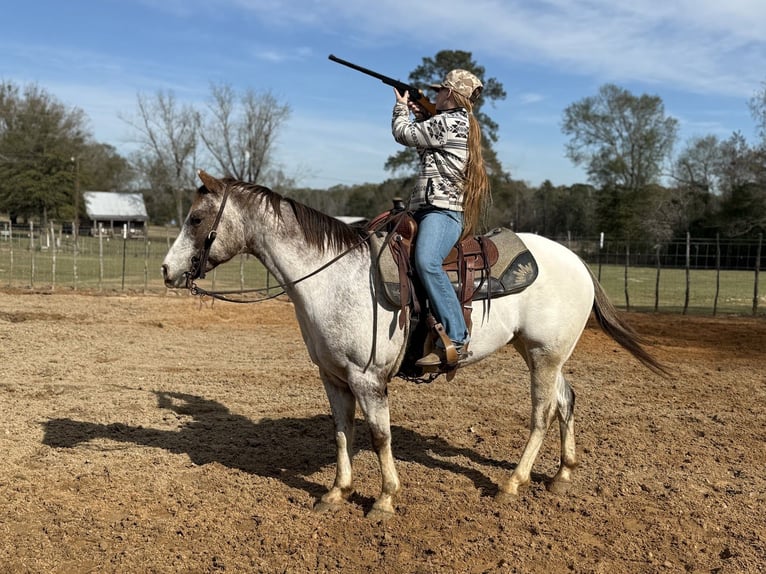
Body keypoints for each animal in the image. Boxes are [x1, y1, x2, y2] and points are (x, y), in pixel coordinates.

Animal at [162, 170, 667, 521]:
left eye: (196, 218)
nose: (167, 270)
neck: (333, 277)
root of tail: (578, 262)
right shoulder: (333, 378)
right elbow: (342, 433)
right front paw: (337, 492)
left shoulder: (368, 380)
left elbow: (379, 436)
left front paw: (384, 500)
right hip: (542, 353)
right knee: (566, 400)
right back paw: (561, 475)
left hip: (544, 355)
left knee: (542, 412)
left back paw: (512, 483)